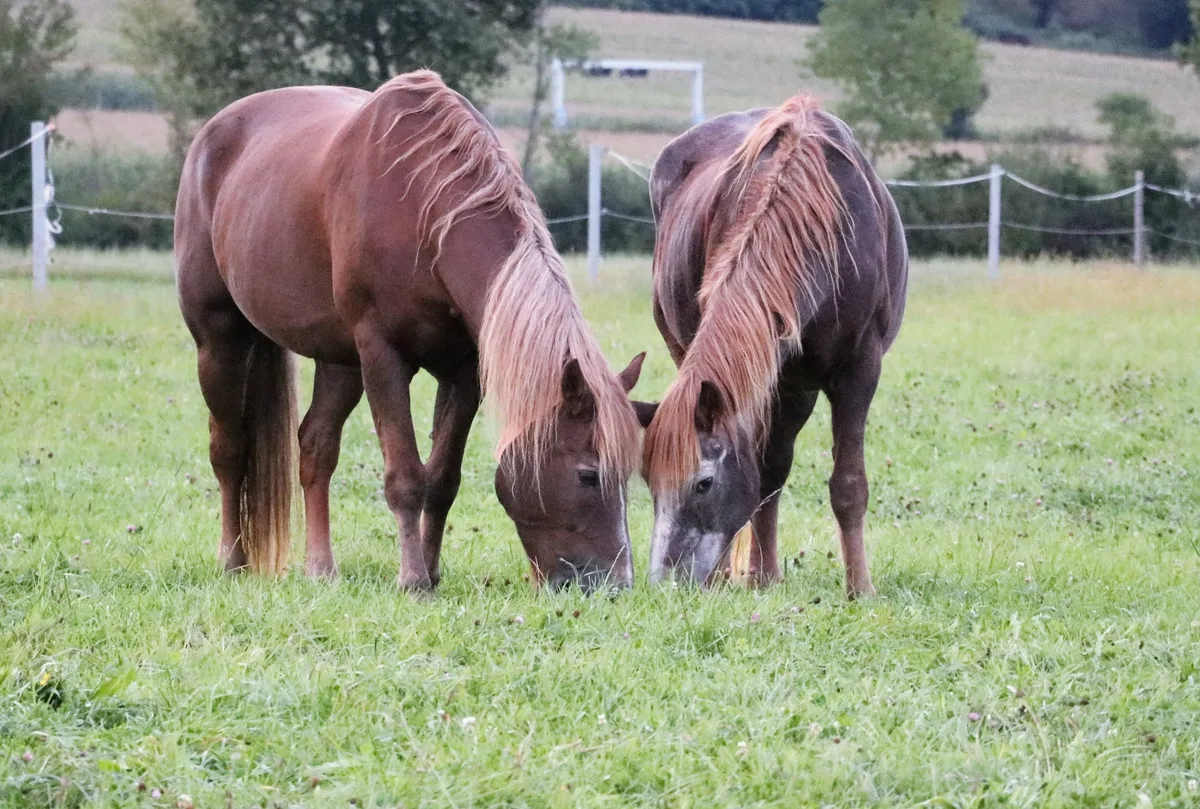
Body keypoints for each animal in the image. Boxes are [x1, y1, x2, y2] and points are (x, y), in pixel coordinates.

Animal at [174, 70, 644, 593]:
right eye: (587, 475)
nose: (616, 583)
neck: (427, 215)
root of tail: (212, 134)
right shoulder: (383, 354)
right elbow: (405, 476)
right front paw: (413, 579)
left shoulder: (463, 370)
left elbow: (441, 479)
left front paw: (432, 570)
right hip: (220, 341)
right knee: (230, 447)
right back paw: (232, 560)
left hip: (340, 360)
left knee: (315, 448)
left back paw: (321, 567)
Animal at [636, 93, 908, 598]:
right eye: (648, 482)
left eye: (703, 484)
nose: (665, 582)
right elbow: (761, 476)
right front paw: (742, 576)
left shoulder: (858, 371)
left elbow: (848, 485)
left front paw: (860, 588)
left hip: (796, 388)